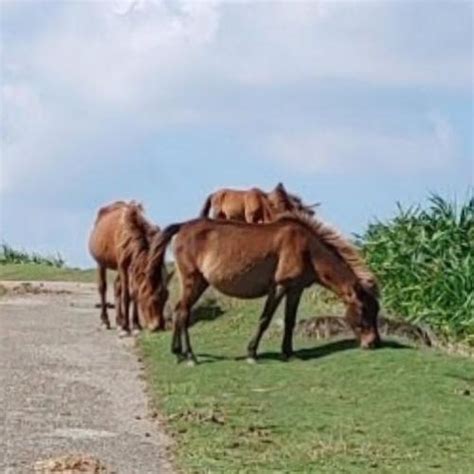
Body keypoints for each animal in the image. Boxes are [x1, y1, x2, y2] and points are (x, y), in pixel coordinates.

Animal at [148, 213, 382, 364]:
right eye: (363, 309)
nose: (374, 343)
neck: (307, 248)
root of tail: (182, 226)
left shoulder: (295, 289)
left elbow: (290, 321)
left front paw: (289, 353)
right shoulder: (279, 287)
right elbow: (265, 319)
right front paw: (252, 353)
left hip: (199, 282)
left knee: (179, 311)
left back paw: (178, 353)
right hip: (193, 281)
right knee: (183, 312)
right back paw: (189, 356)